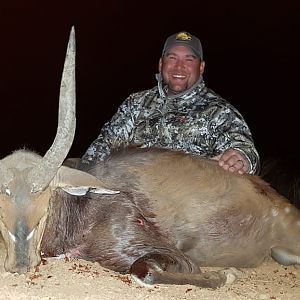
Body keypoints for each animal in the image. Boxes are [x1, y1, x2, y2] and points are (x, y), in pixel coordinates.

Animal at [0, 27, 300, 290]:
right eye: (2, 214)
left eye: (43, 210)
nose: (20, 265)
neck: (81, 207)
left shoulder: (169, 254)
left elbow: (143, 271)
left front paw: (227, 275)